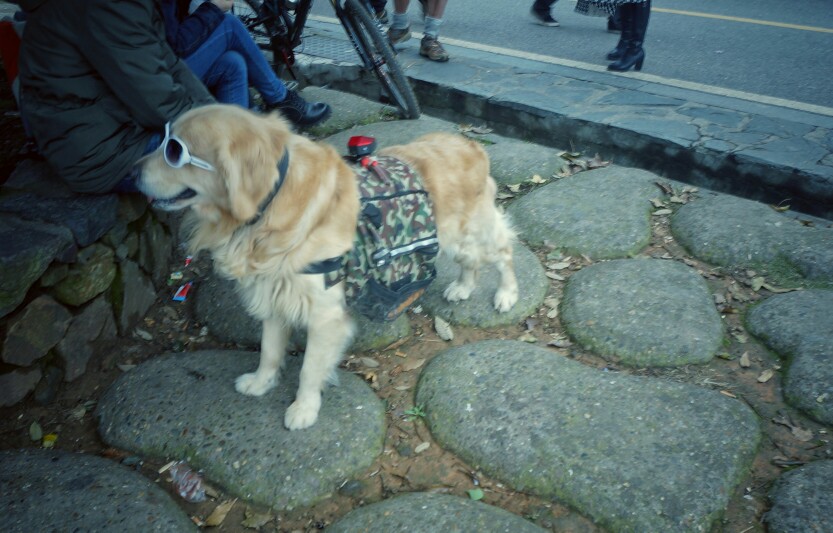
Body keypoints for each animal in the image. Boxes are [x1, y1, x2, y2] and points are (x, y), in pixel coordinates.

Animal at [136, 104, 512, 428]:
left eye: (174, 151)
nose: (132, 171)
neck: (270, 206)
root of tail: (471, 144)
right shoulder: (275, 292)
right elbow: (269, 349)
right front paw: (261, 382)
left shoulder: (324, 314)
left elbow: (308, 368)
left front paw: (303, 409)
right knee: (473, 264)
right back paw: (463, 286)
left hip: (472, 237)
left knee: (505, 251)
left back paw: (506, 294)